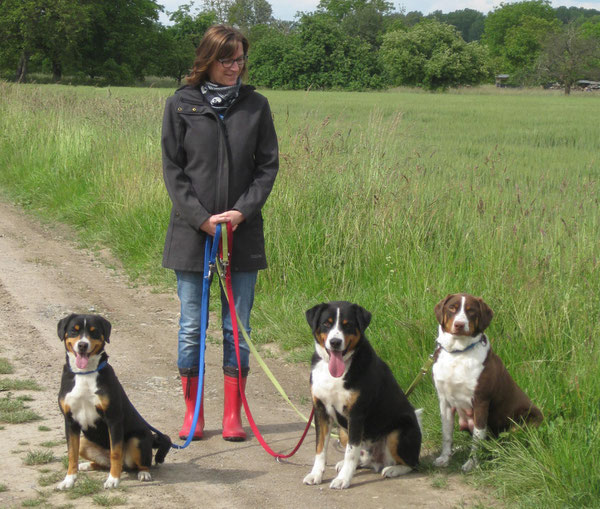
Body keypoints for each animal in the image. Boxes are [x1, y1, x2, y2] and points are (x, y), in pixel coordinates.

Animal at [56, 312, 170, 490]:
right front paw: (69, 480)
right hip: (84, 442)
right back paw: (87, 465)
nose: (82, 345)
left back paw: (143, 473)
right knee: (104, 463)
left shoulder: (113, 419)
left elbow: (115, 453)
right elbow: (71, 454)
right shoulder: (70, 421)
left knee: (139, 463)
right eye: (74, 330)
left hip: (137, 439)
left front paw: (113, 480)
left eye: (94, 331)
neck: (85, 374)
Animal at [432, 296, 544, 470]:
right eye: (452, 308)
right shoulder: (445, 402)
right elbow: (447, 434)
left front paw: (471, 463)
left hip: (525, 420)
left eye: (471, 310)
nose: (459, 324)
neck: (458, 354)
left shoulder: (481, 401)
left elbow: (478, 439)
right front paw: (445, 457)